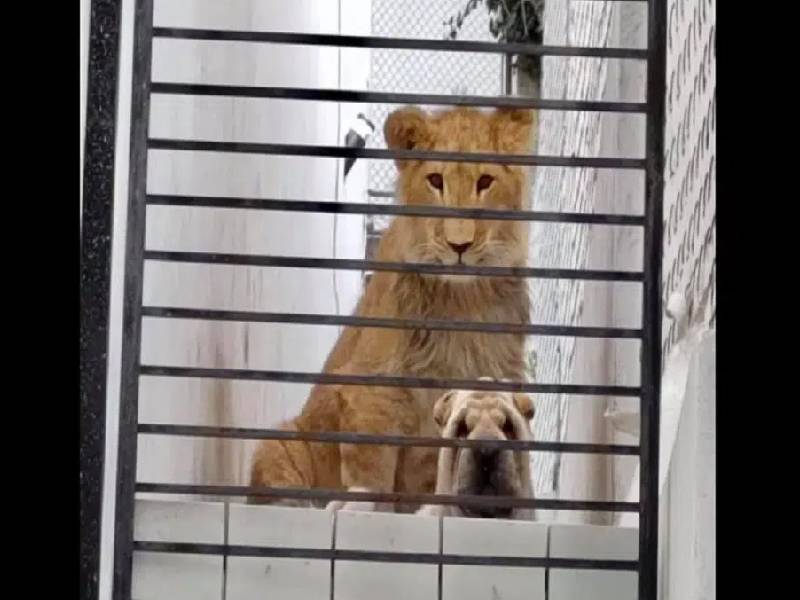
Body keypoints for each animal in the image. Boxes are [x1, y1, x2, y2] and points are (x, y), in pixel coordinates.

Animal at [249, 106, 536, 512]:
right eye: (435, 181)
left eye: (485, 181)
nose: (459, 245)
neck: (463, 300)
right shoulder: (373, 386)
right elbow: (372, 461)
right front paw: (358, 504)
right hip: (280, 442)